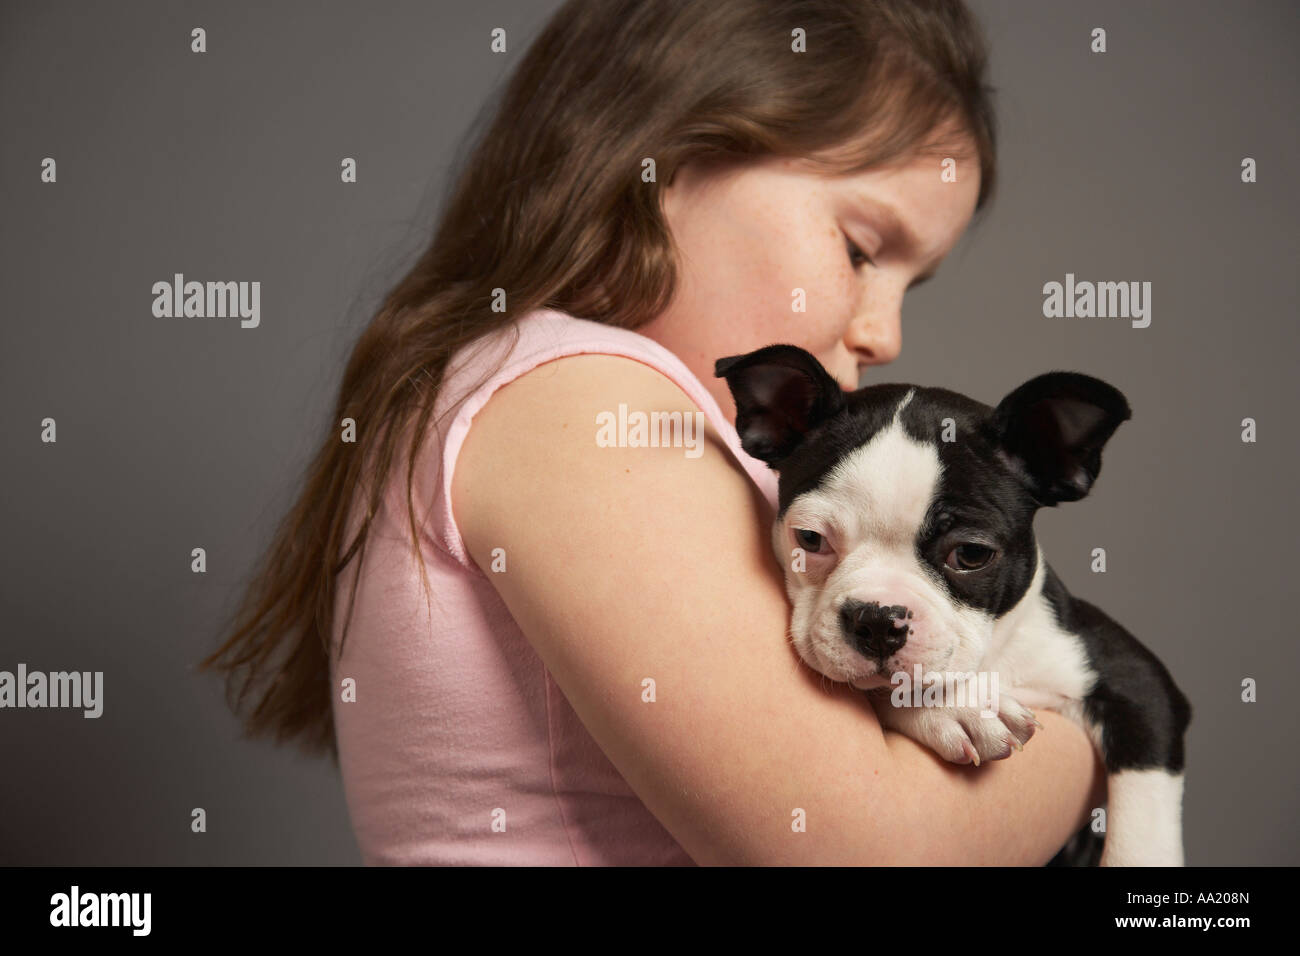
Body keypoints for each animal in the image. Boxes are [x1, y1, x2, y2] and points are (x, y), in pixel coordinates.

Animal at [717, 343, 1190, 868]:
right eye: (810, 539)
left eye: (971, 554)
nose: (877, 620)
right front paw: (959, 707)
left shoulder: (1138, 680)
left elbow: (1141, 828)